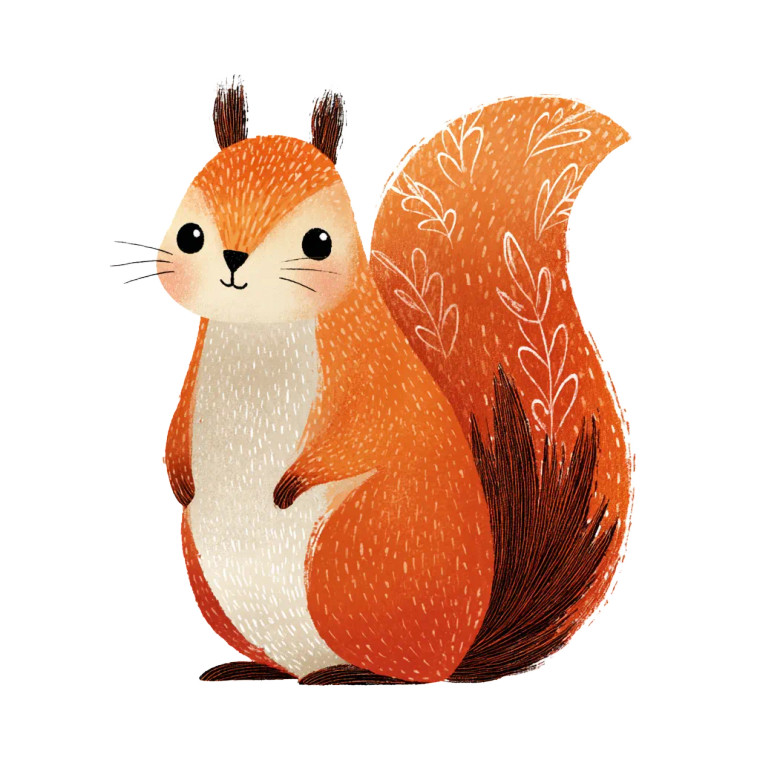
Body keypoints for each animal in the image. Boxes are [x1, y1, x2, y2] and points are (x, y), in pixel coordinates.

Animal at [141, 81, 631, 685]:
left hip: (351, 558)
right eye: (190, 235)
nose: (233, 259)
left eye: (319, 241)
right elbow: (177, 426)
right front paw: (181, 479)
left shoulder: (370, 373)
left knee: (405, 671)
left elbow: (367, 429)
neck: (259, 329)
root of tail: (461, 652)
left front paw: (291, 484)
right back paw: (253, 669)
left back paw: (348, 674)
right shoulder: (196, 370)